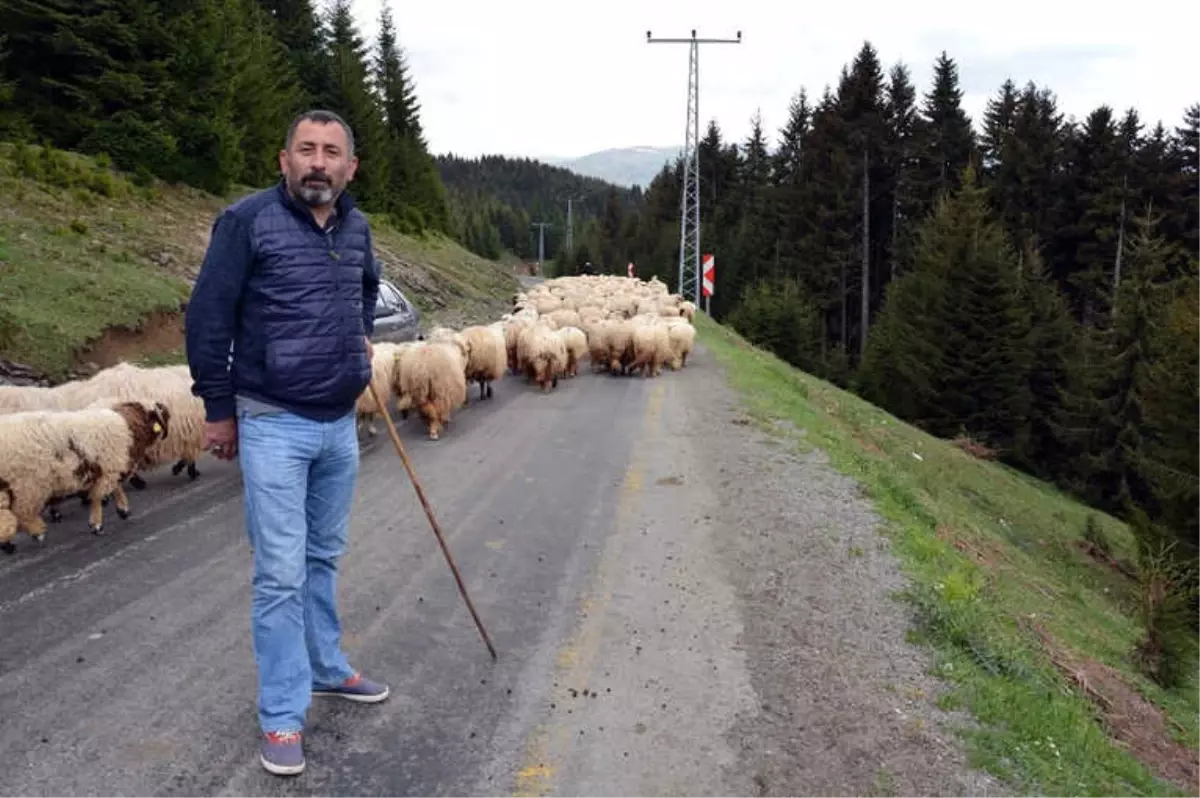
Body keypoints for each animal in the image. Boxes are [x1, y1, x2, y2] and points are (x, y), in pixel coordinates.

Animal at [0, 396, 171, 547]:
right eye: (159, 414)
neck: (127, 425)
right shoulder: (110, 466)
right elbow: (98, 496)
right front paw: (97, 524)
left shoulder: (110, 466)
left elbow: (115, 488)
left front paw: (122, 509)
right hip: (26, 485)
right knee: (21, 513)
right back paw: (37, 532)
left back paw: (9, 543)